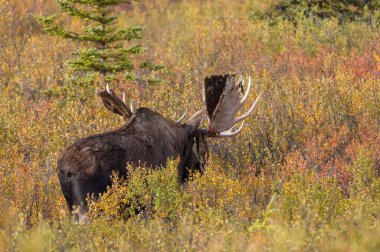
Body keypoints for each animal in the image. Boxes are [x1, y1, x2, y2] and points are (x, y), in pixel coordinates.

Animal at [58, 73, 260, 220]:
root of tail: (64, 169)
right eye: (200, 141)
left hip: (72, 207)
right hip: (89, 205)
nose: (201, 168)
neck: (180, 146)